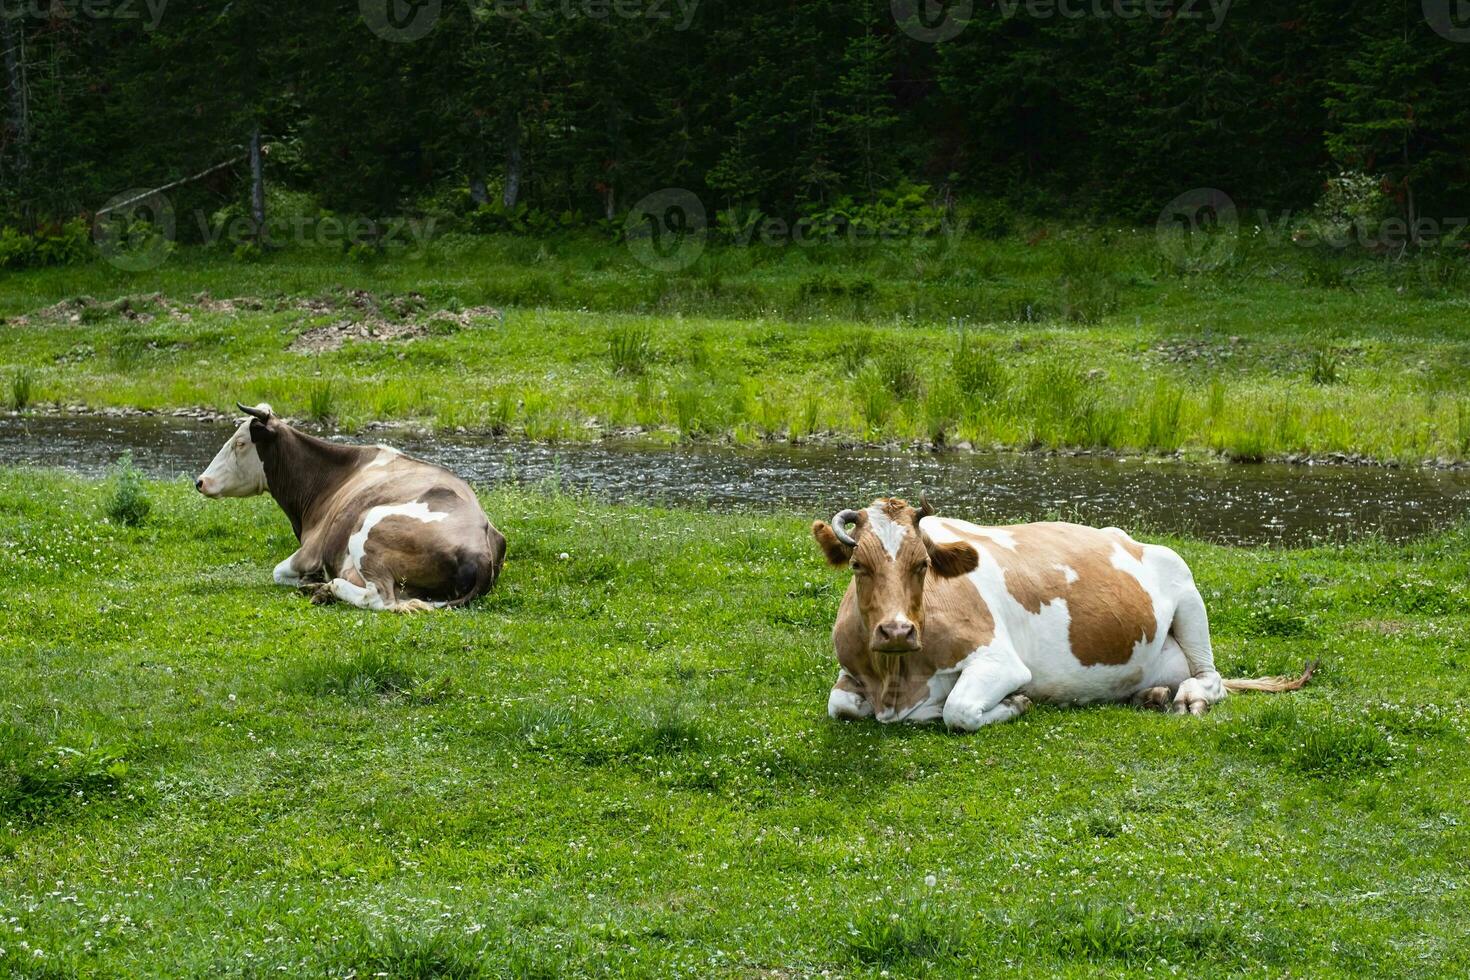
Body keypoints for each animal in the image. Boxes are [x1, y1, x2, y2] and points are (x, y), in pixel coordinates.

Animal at [196, 402, 505, 608]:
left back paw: (327, 588)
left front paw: (310, 580)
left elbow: (278, 572)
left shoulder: (309, 552)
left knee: (378, 597)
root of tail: (482, 547)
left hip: (369, 531)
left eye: (240, 443)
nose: (200, 481)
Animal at [811, 499, 1317, 728]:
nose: (897, 630)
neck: (896, 680)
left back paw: (1186, 697)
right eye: (857, 565)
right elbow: (840, 704)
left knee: (1211, 678)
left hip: (1187, 588)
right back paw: (1151, 694)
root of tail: (1128, 536)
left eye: (922, 565)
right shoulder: (850, 672)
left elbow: (958, 710)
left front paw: (1014, 702)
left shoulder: (1000, 661)